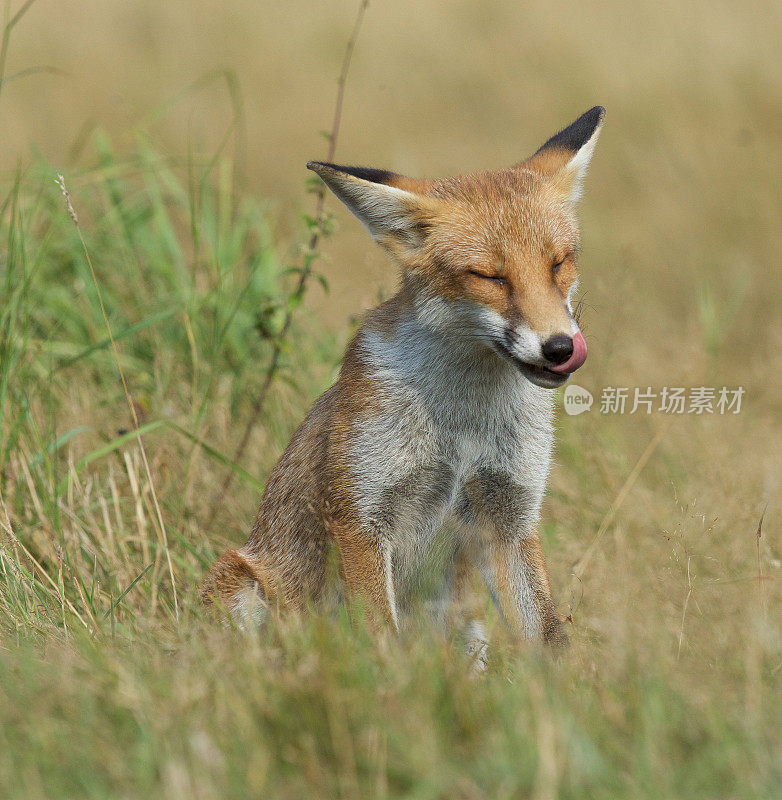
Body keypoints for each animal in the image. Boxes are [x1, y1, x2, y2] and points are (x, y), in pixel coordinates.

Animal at [202, 106, 608, 652]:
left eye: (559, 263)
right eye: (490, 277)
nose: (561, 348)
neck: (464, 423)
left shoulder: (509, 516)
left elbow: (547, 638)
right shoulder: (361, 513)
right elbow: (380, 636)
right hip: (241, 584)